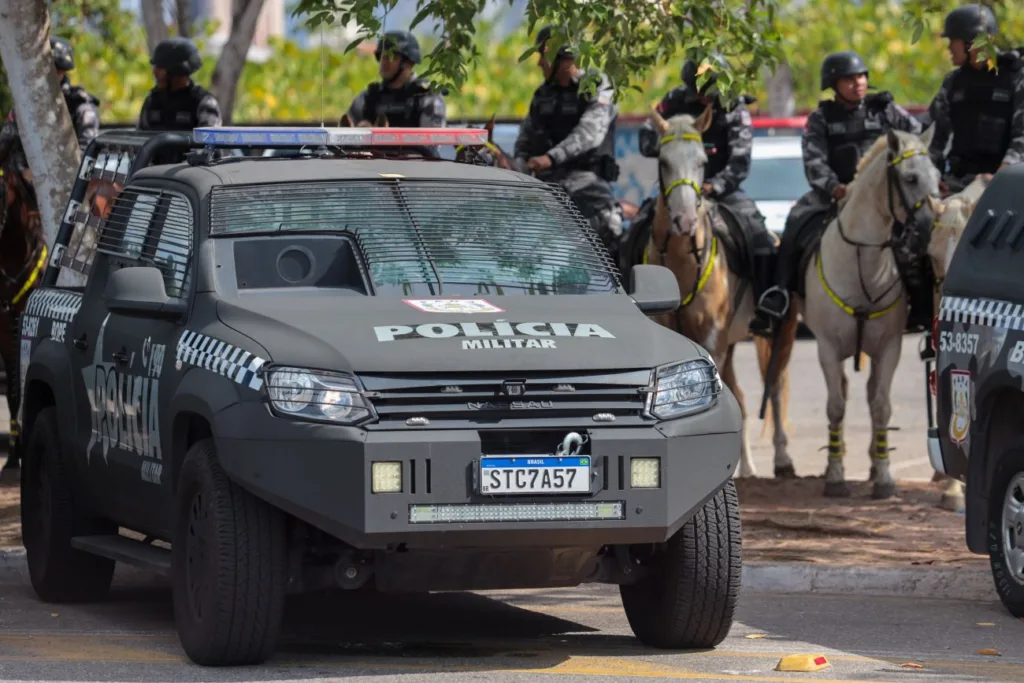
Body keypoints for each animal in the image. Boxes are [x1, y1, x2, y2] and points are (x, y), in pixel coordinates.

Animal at [770, 127, 937, 499]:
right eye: (911, 177)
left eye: (938, 177)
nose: (930, 226)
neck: (863, 262)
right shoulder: (828, 349)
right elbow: (835, 406)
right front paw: (835, 477)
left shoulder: (890, 347)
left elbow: (881, 406)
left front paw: (884, 478)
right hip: (785, 330)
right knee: (780, 383)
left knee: (870, 394)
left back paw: (874, 462)